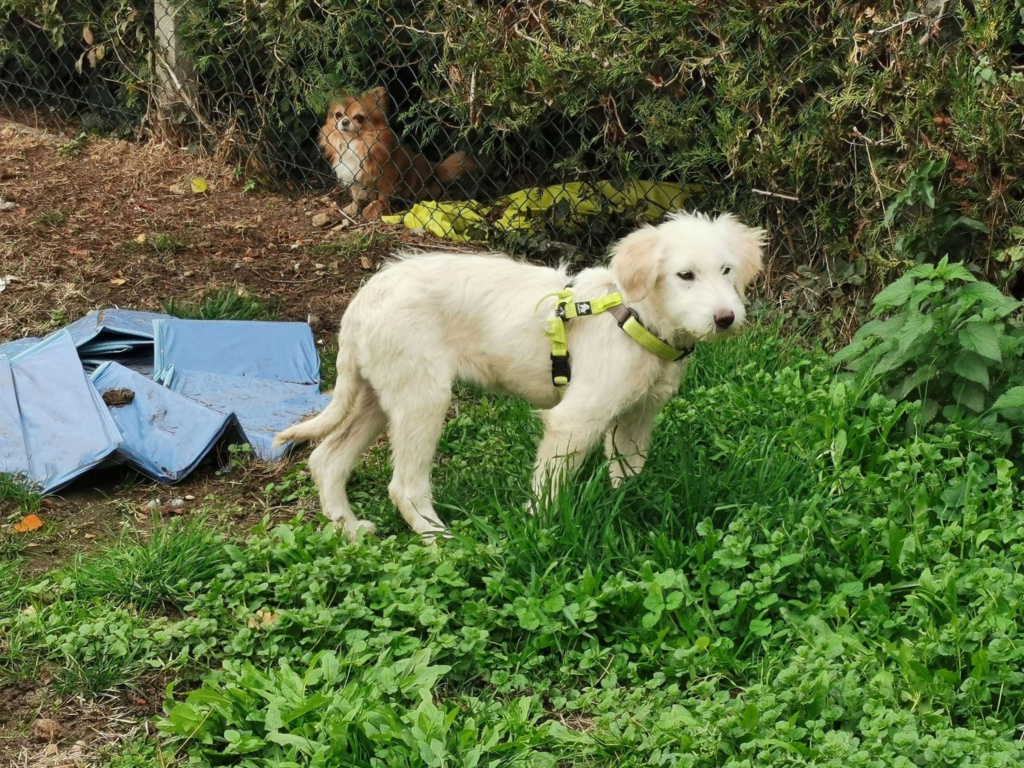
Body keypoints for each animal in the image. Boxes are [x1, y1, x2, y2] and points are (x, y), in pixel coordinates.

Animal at [276, 210, 765, 540]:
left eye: (726, 271)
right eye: (685, 275)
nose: (726, 318)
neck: (636, 317)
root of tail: (364, 299)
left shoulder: (636, 419)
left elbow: (628, 475)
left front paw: (629, 510)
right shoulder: (574, 421)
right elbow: (549, 490)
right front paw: (539, 533)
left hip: (378, 395)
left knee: (327, 459)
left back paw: (350, 529)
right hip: (422, 397)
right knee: (403, 486)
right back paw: (441, 540)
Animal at [319, 87, 479, 219]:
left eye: (359, 118)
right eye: (338, 115)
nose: (344, 122)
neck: (353, 142)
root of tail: (434, 168)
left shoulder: (385, 179)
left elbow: (382, 198)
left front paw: (376, 211)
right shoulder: (355, 176)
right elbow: (357, 196)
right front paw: (351, 208)